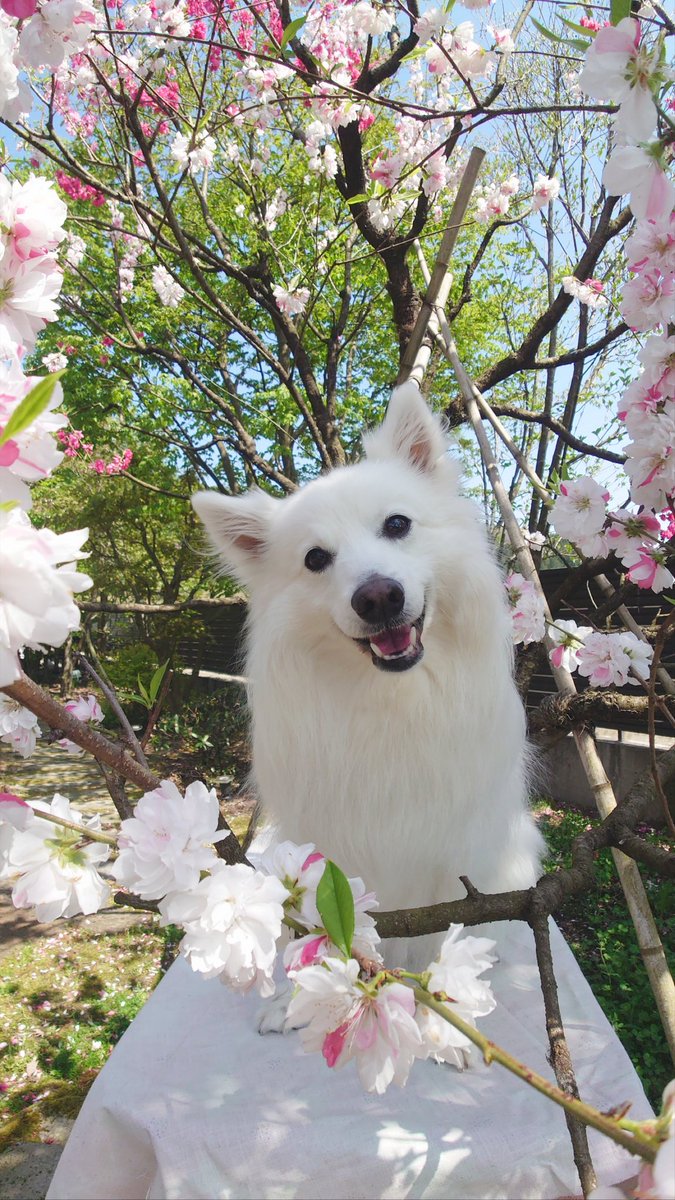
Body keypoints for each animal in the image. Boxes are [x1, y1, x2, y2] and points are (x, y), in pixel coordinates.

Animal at [190, 379, 540, 969]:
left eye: (397, 525)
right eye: (315, 559)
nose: (378, 597)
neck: (390, 699)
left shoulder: (453, 863)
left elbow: (438, 938)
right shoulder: (339, 851)